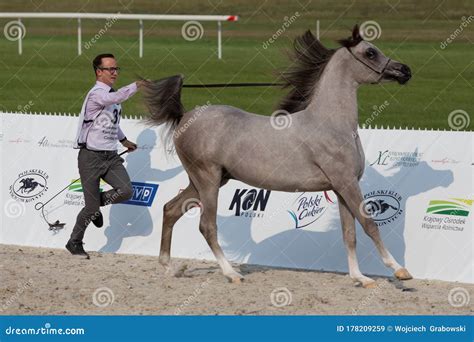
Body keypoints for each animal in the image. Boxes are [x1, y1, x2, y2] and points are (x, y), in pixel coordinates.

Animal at [143, 25, 412, 288]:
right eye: (370, 53)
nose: (405, 71)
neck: (331, 124)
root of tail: (185, 117)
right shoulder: (346, 183)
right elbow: (370, 225)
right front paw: (399, 271)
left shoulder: (340, 188)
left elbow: (349, 234)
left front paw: (360, 278)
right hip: (207, 179)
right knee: (207, 225)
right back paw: (231, 273)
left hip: (206, 181)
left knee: (170, 209)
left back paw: (170, 268)